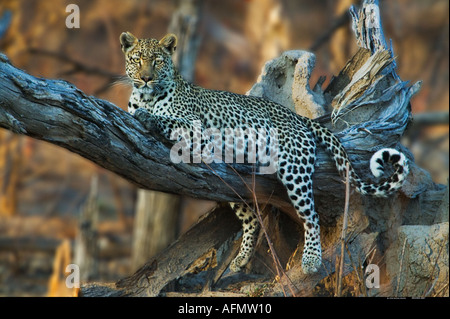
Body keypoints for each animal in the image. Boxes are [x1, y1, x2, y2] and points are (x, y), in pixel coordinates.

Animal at [118, 32, 408, 276]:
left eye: (156, 61)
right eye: (137, 59)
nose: (146, 78)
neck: (146, 97)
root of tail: (299, 117)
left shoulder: (196, 127)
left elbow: (168, 120)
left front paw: (148, 117)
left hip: (294, 170)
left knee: (311, 217)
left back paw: (311, 260)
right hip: (233, 183)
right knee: (253, 219)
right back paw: (241, 259)